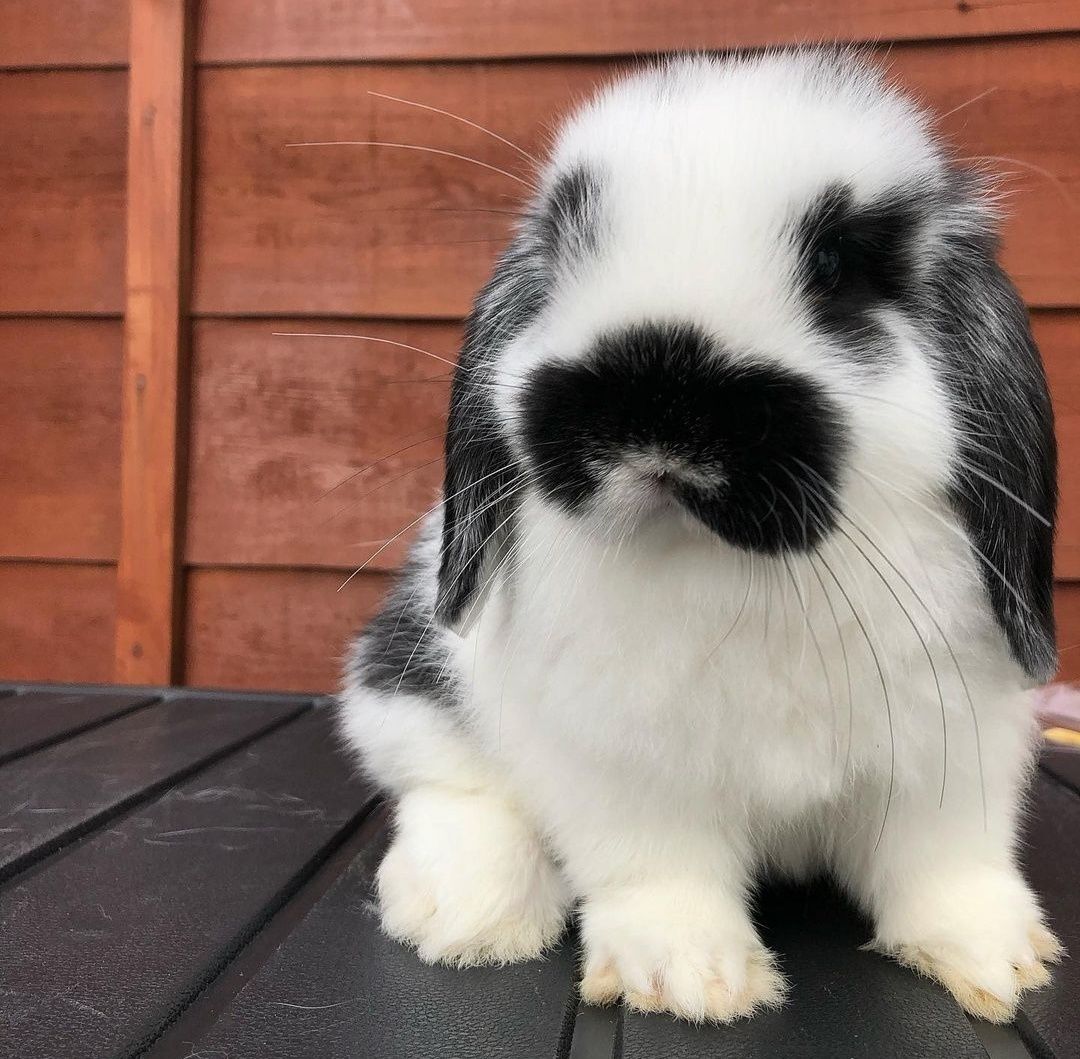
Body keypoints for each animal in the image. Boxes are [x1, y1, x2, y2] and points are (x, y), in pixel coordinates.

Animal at [339, 45, 1062, 1019]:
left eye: (835, 263)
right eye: (566, 249)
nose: (655, 399)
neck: (737, 572)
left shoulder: (953, 745)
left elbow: (944, 861)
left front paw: (993, 957)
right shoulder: (624, 764)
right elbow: (659, 870)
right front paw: (691, 977)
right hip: (411, 674)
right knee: (445, 777)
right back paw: (465, 912)